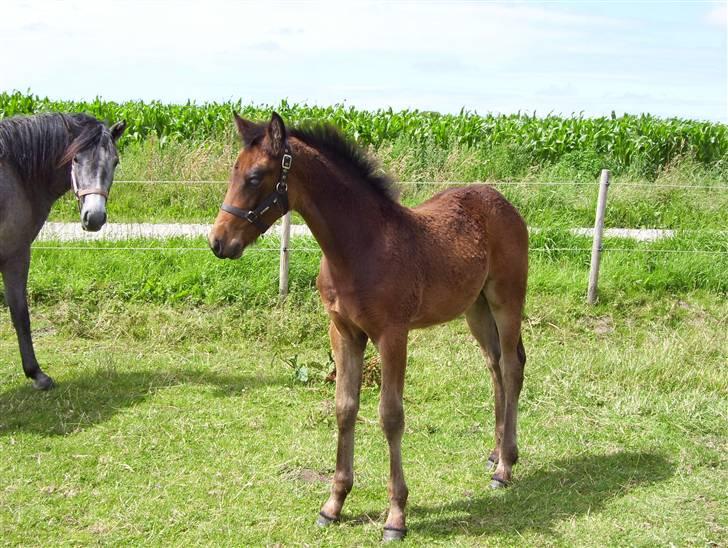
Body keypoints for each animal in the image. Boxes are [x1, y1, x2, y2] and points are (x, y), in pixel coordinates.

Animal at [0, 113, 125, 390]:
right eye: (75, 159)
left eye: (115, 161)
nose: (94, 217)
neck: (14, 174)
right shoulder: (16, 255)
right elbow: (20, 313)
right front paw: (37, 374)